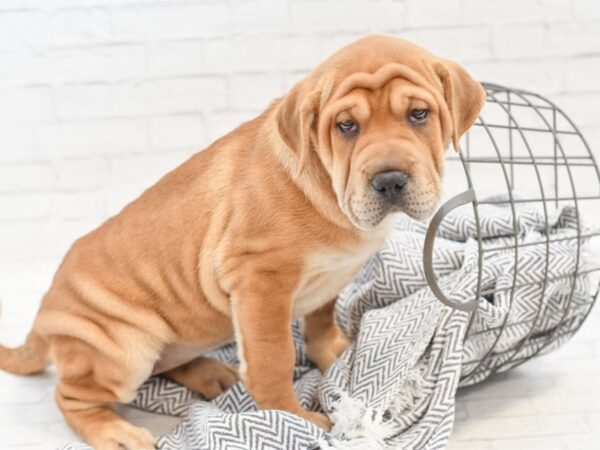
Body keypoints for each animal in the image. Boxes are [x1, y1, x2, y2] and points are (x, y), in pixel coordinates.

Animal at [0, 36, 486, 450]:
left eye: (419, 115)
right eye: (346, 126)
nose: (389, 181)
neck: (327, 190)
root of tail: (43, 313)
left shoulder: (332, 276)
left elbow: (320, 320)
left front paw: (335, 353)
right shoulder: (260, 279)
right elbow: (275, 357)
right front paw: (293, 419)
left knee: (168, 360)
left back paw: (212, 374)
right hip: (121, 350)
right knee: (71, 395)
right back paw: (116, 432)